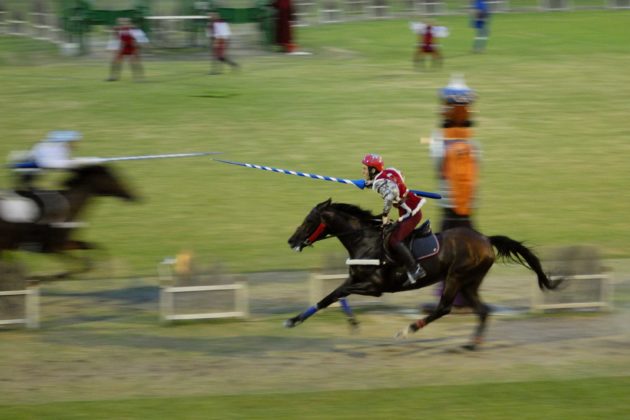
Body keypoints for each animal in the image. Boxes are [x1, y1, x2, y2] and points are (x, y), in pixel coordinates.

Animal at [0, 164, 138, 278]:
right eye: (112, 178)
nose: (132, 195)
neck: (67, 207)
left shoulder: (64, 243)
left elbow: (92, 248)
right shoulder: (52, 247)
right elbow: (80, 265)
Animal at [286, 199, 564, 350]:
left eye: (309, 221)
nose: (291, 241)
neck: (364, 240)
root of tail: (486, 239)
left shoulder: (374, 287)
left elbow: (338, 293)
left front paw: (353, 324)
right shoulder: (355, 279)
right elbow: (329, 296)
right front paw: (294, 320)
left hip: (456, 277)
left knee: (444, 308)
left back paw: (408, 329)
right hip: (469, 282)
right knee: (483, 311)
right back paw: (472, 344)